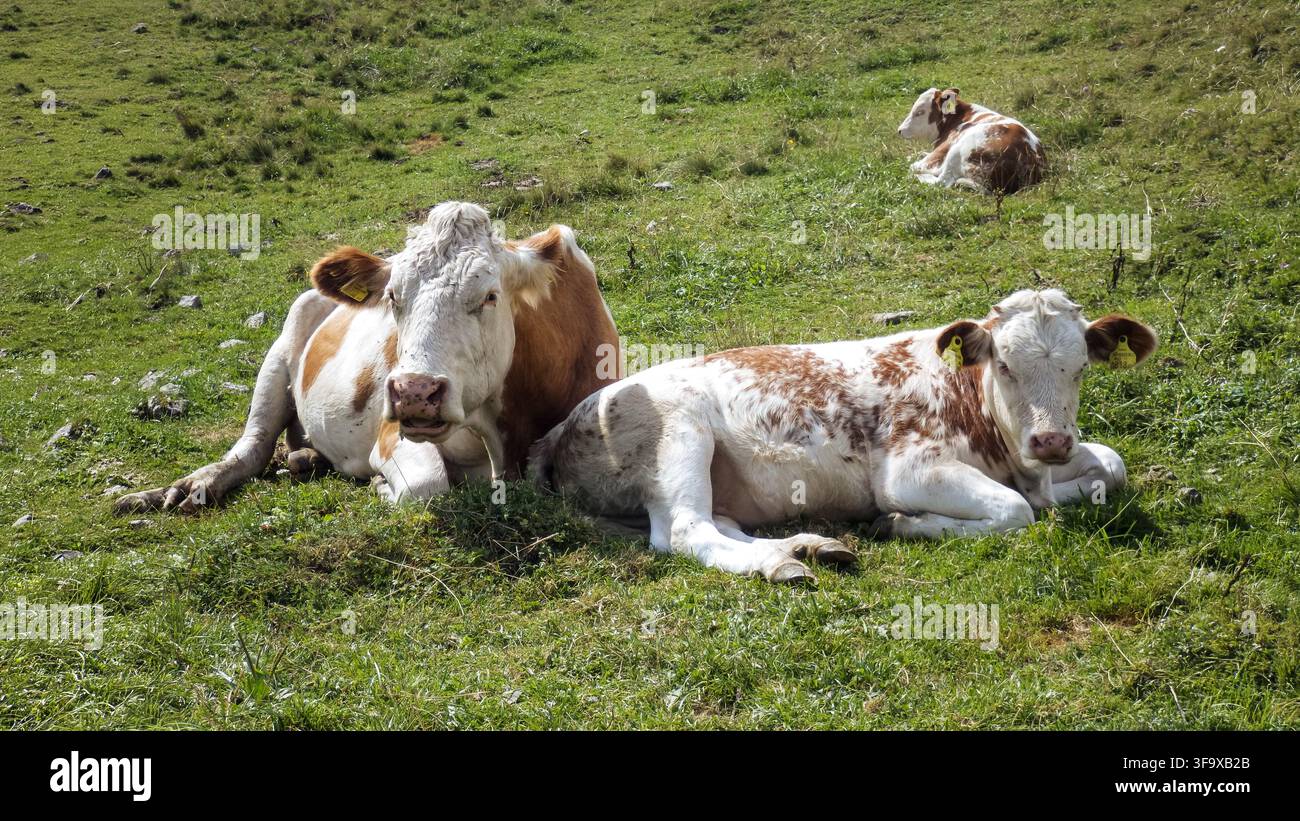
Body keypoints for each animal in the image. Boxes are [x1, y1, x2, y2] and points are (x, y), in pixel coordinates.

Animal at [115, 201, 618, 514]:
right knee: (252, 447)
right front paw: (381, 485)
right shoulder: (392, 435)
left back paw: (306, 460)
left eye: (490, 296)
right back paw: (189, 487)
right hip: (283, 347)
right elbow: (427, 486)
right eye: (393, 297)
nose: (415, 391)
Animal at [530, 289, 1156, 584]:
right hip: (680, 434)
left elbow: (1110, 464)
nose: (1051, 442)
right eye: (1004, 365)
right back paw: (780, 564)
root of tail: (558, 429)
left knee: (719, 523)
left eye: (1080, 368)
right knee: (685, 532)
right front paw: (905, 524)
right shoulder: (909, 469)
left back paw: (809, 546)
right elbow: (1013, 510)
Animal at [897, 87, 1046, 195]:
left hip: (958, 149)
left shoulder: (942, 149)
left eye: (920, 112)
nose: (900, 130)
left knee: (941, 180)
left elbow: (915, 165)